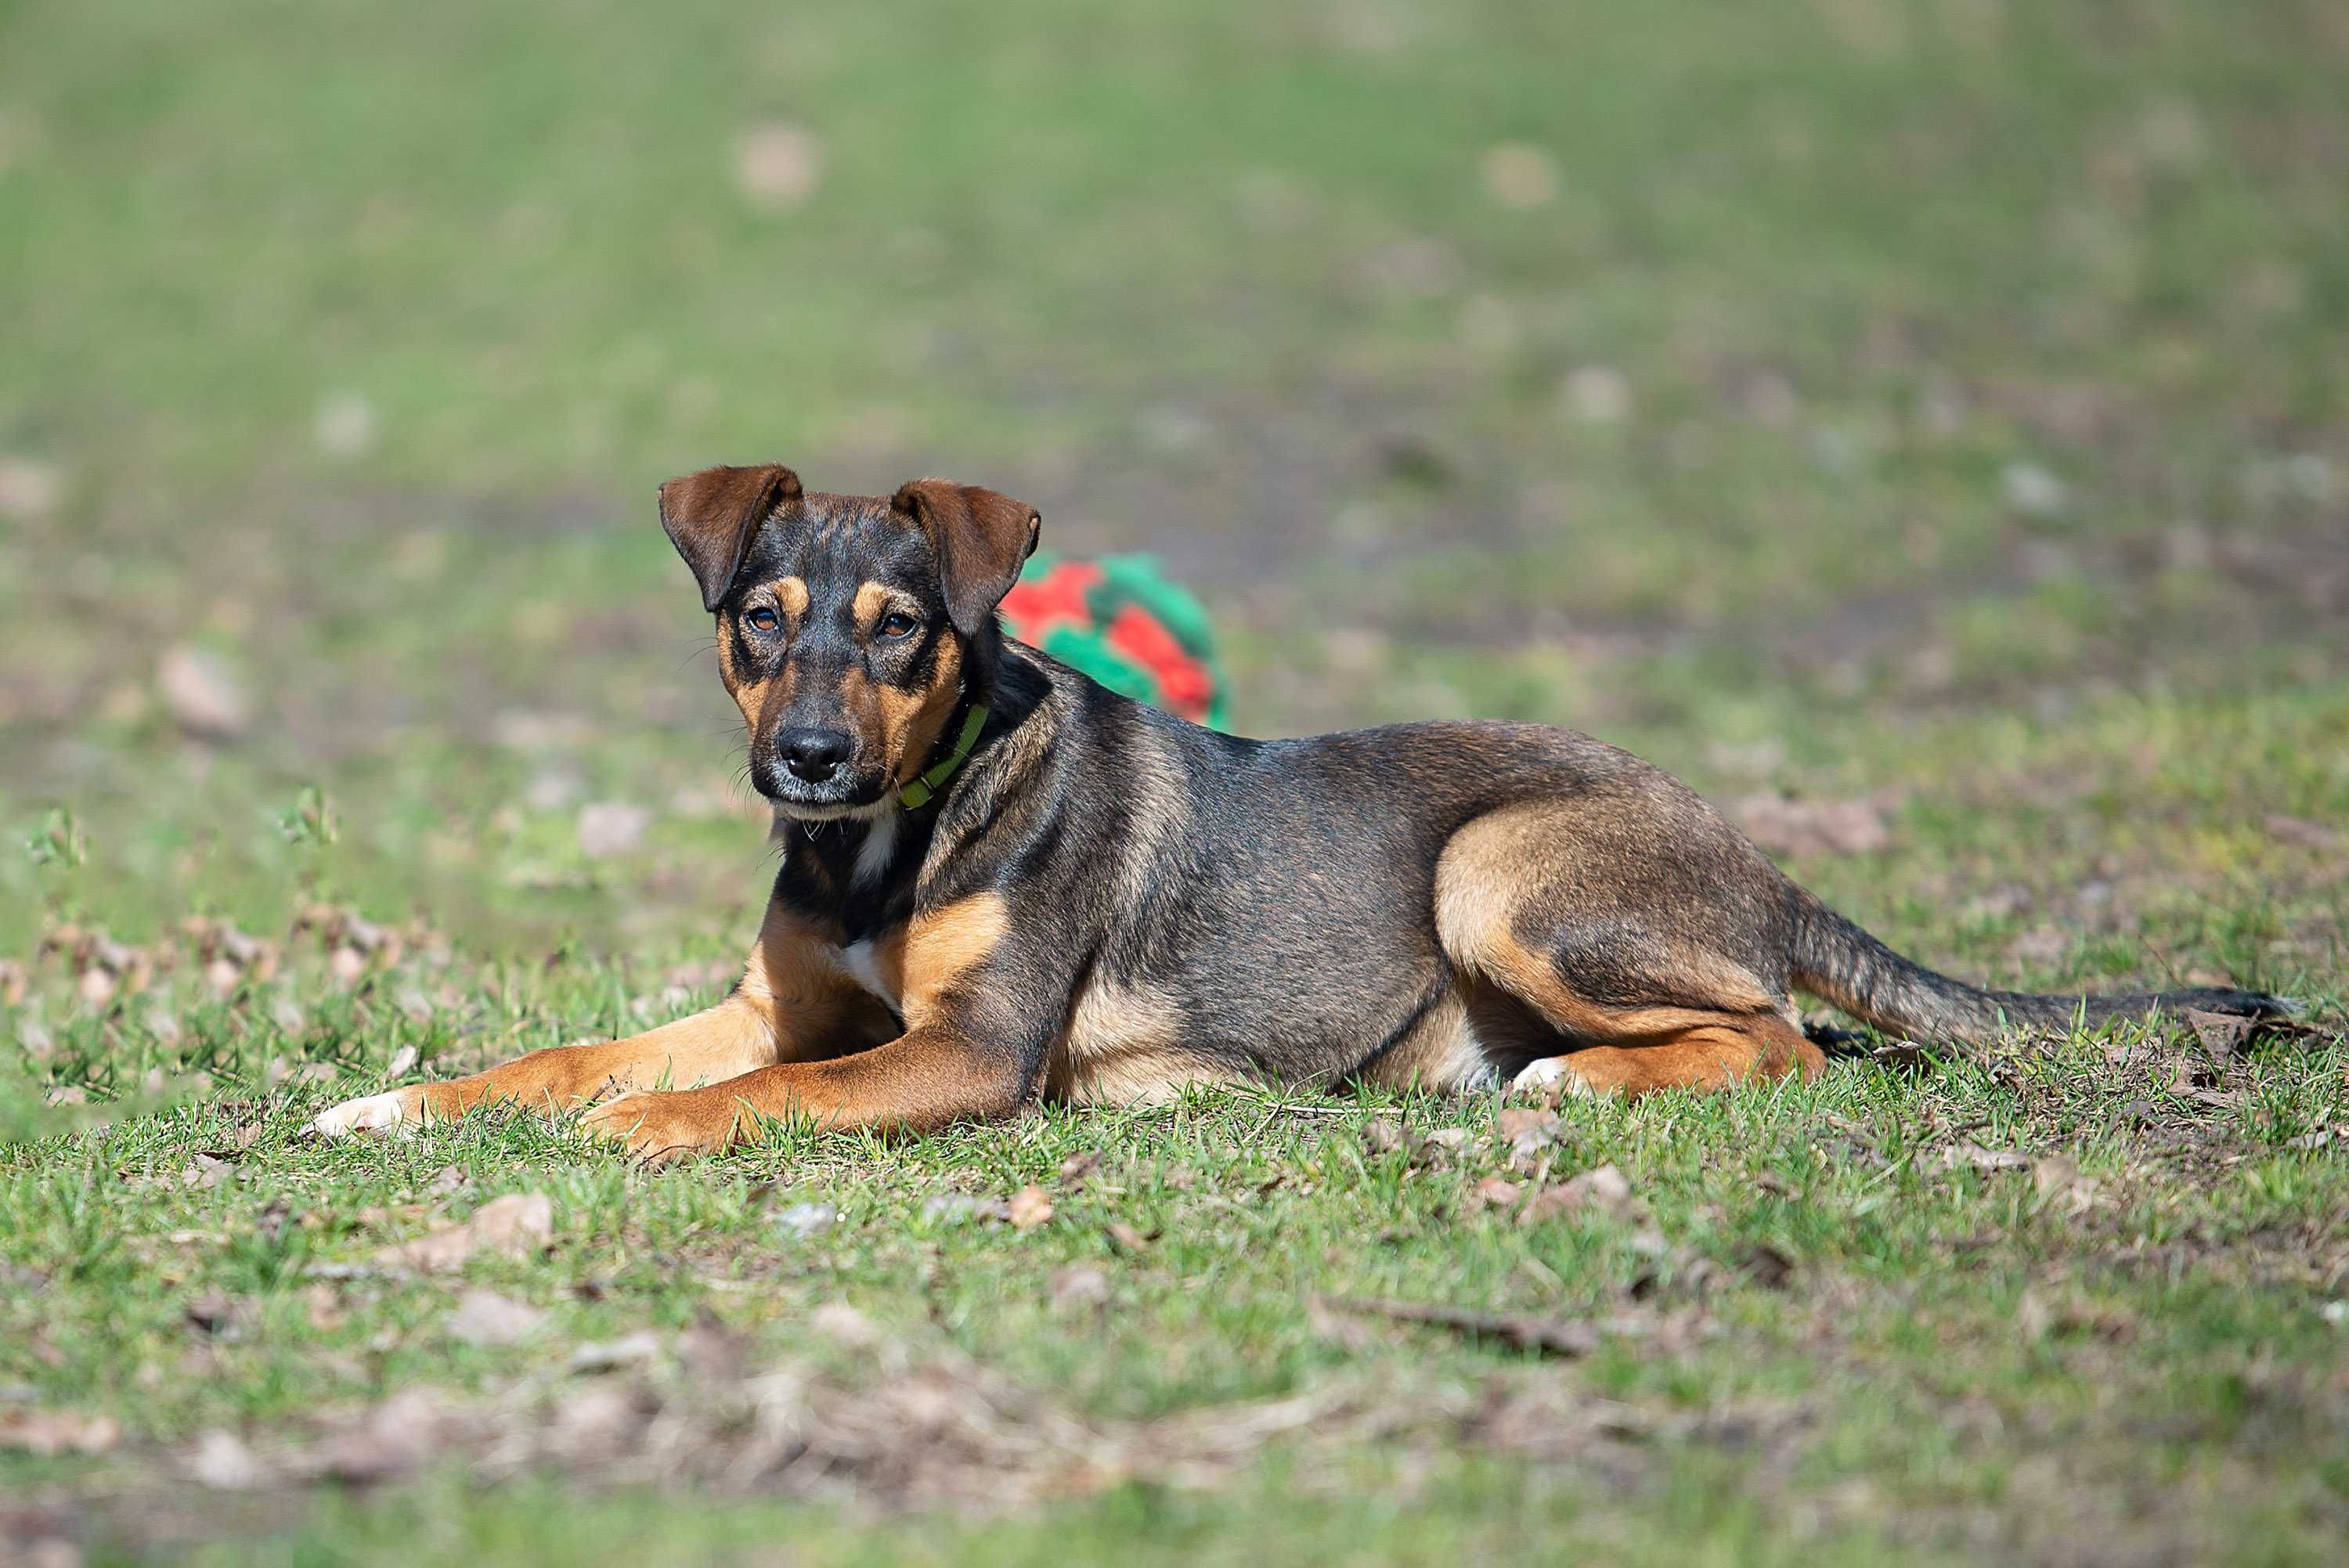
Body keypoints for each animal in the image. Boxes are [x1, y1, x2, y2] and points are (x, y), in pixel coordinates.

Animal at [312, 464, 2293, 1164]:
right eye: (760, 619)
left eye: (899, 632)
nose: (803, 759)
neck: (886, 841)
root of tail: (1751, 853)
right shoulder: (770, 999)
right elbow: (574, 1052)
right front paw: (394, 1101)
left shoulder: (971, 1052)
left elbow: (752, 1096)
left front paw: (639, 1134)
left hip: (1498, 868)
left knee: (1784, 1033)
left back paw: (1583, 1087)